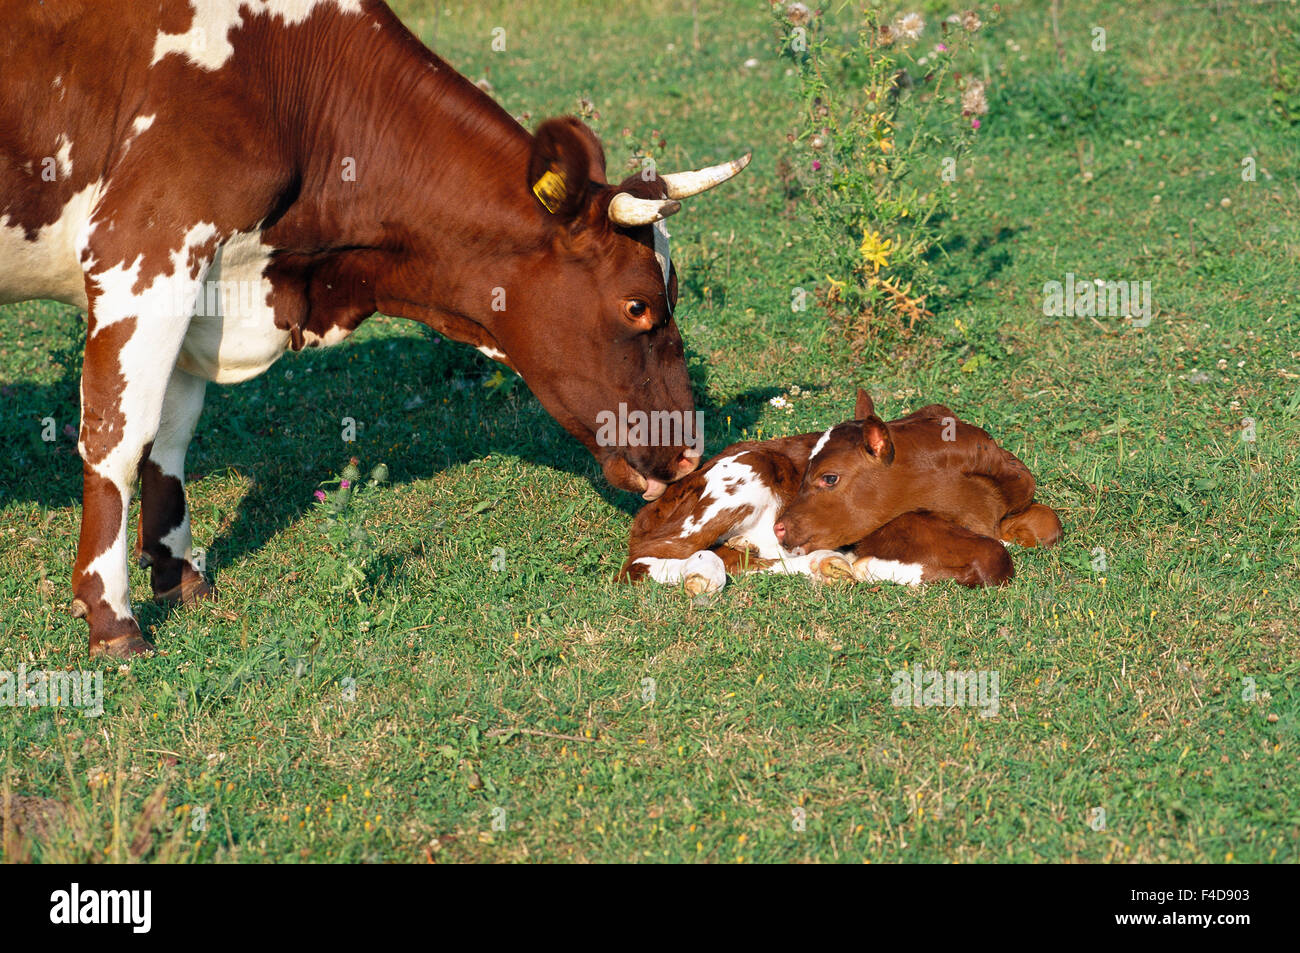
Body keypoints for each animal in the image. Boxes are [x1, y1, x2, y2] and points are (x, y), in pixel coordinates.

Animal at [0, 0, 751, 658]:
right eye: (637, 306)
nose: (689, 453)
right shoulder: (144, 250)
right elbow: (119, 436)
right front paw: (112, 618)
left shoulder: (202, 277)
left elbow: (173, 432)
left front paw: (178, 575)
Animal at [620, 389, 1062, 593]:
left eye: (829, 478)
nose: (781, 527)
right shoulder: (895, 528)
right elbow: (993, 558)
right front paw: (875, 568)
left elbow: (1049, 524)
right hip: (742, 476)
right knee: (641, 561)